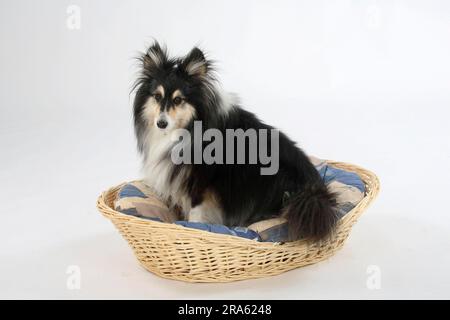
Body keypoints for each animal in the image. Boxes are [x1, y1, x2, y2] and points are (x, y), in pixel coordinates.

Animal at [133, 41, 338, 240]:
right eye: (157, 96)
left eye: (178, 100)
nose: (161, 123)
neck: (189, 127)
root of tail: (316, 191)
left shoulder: (200, 183)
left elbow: (196, 213)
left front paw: (193, 228)